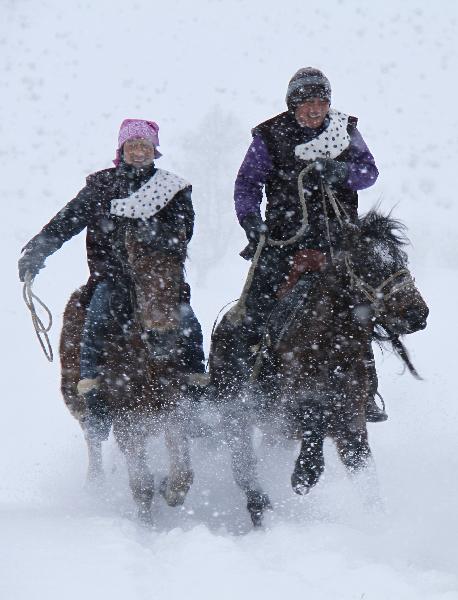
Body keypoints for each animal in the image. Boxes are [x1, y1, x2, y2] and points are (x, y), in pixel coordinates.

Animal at [59, 223, 195, 524]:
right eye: (138, 277)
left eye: (178, 275)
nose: (161, 336)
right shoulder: (126, 416)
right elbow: (141, 484)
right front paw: (146, 524)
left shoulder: (174, 405)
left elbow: (182, 471)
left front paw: (170, 489)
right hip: (80, 403)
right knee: (93, 439)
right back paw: (95, 487)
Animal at [209, 210, 432, 524]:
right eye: (368, 264)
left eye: (401, 259)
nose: (417, 313)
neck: (330, 347)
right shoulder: (289, 408)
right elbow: (312, 416)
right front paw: (304, 474)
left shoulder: (352, 421)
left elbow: (364, 474)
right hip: (237, 414)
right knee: (244, 467)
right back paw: (261, 508)